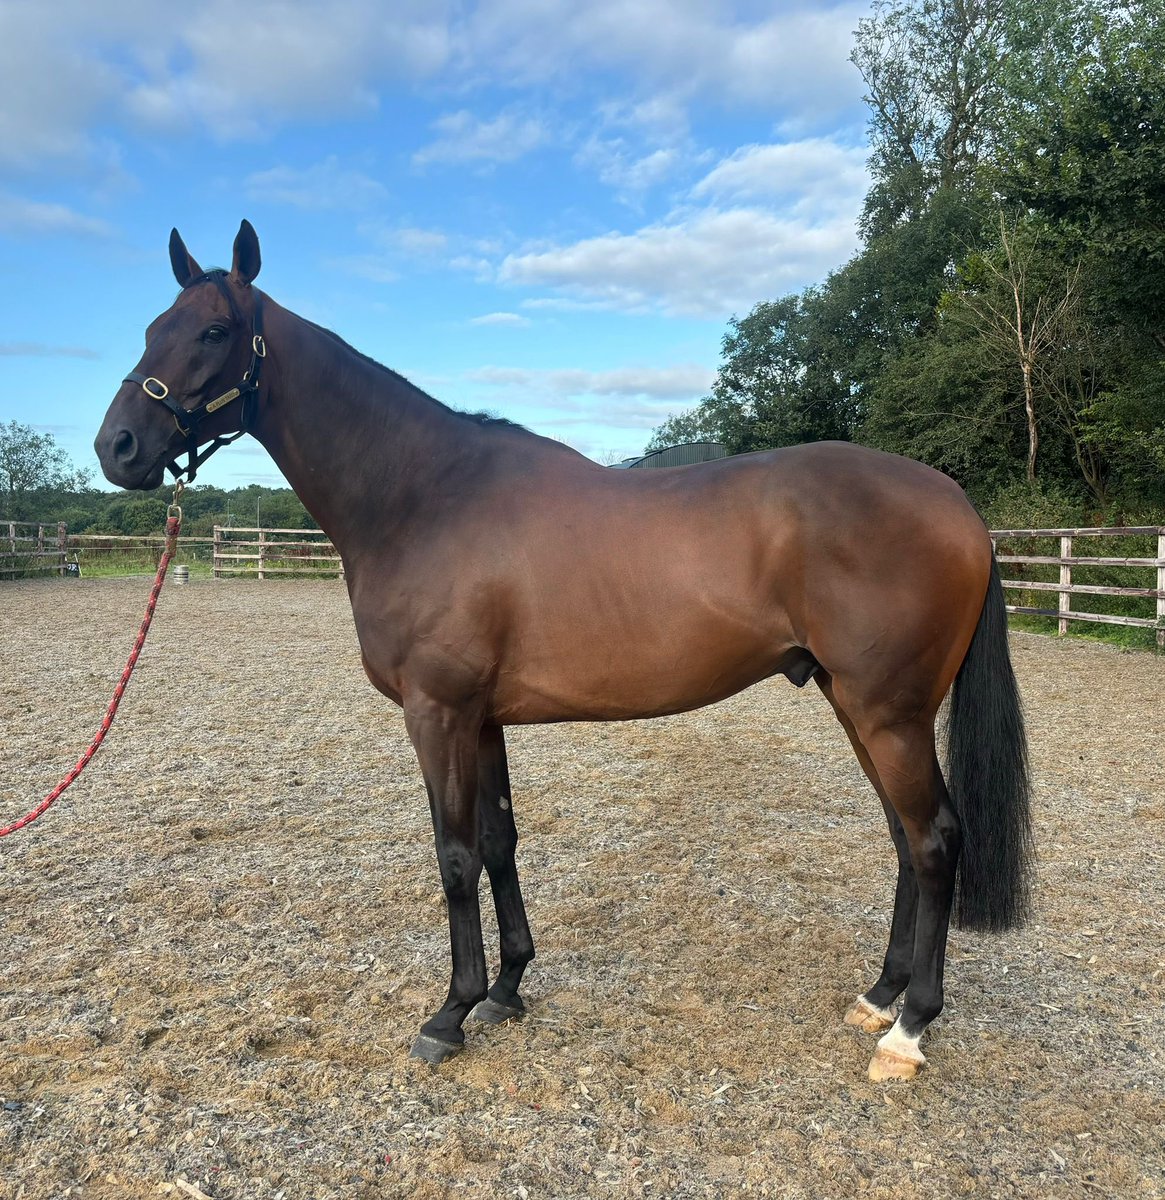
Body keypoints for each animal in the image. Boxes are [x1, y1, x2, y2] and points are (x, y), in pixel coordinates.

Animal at [95, 221, 1033, 1082]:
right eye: (151, 325)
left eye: (214, 331)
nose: (118, 447)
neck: (422, 497)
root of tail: (956, 504)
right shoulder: (481, 720)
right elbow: (499, 843)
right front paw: (507, 989)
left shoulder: (437, 714)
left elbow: (453, 856)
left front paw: (449, 1013)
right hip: (855, 705)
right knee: (903, 841)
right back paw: (876, 996)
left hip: (888, 714)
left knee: (935, 842)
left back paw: (907, 1032)